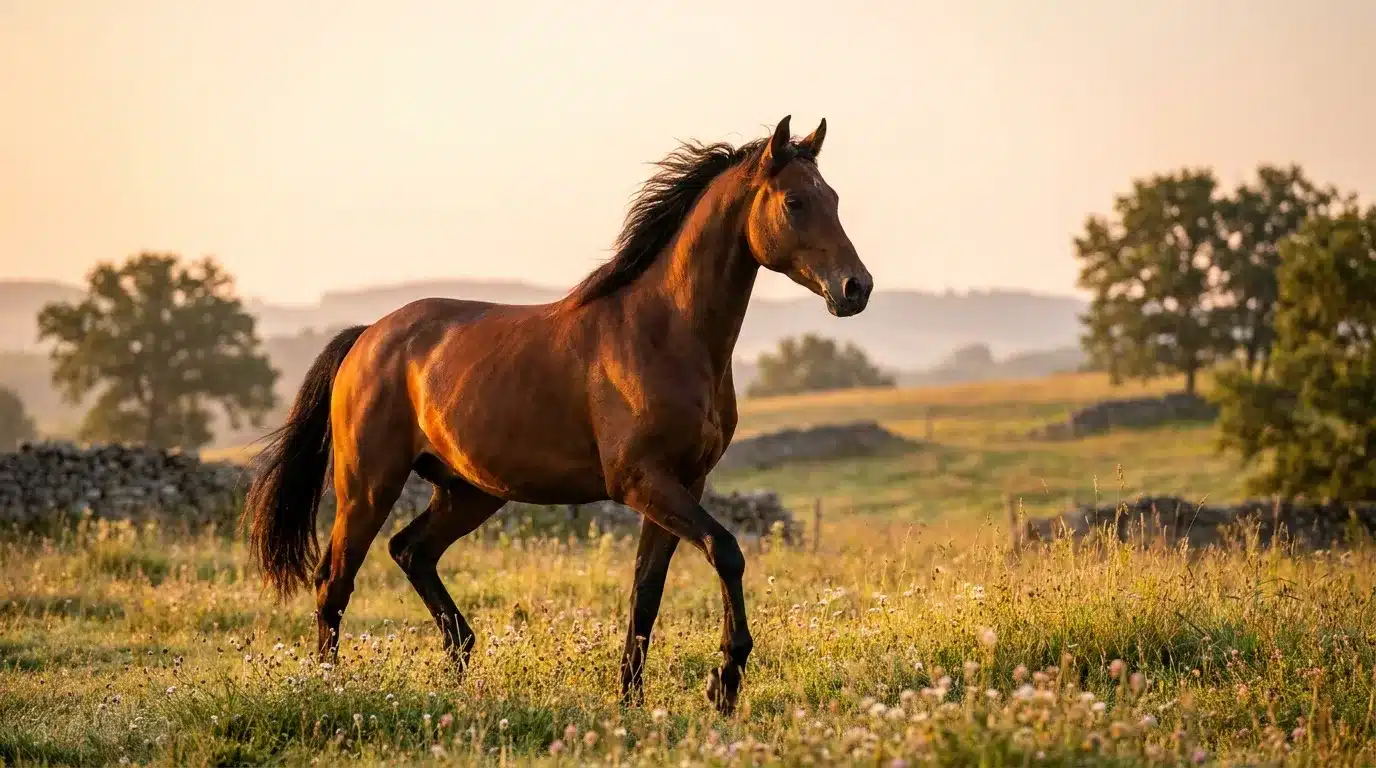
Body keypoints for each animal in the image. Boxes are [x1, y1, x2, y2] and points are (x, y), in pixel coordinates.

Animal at [241, 115, 872, 715]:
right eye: (795, 202)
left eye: (836, 198)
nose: (856, 288)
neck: (664, 334)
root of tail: (367, 335)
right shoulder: (642, 481)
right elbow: (727, 551)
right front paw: (725, 680)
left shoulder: (683, 483)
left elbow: (646, 591)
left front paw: (632, 700)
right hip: (368, 485)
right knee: (334, 580)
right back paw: (332, 687)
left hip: (469, 491)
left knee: (410, 552)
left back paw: (459, 664)